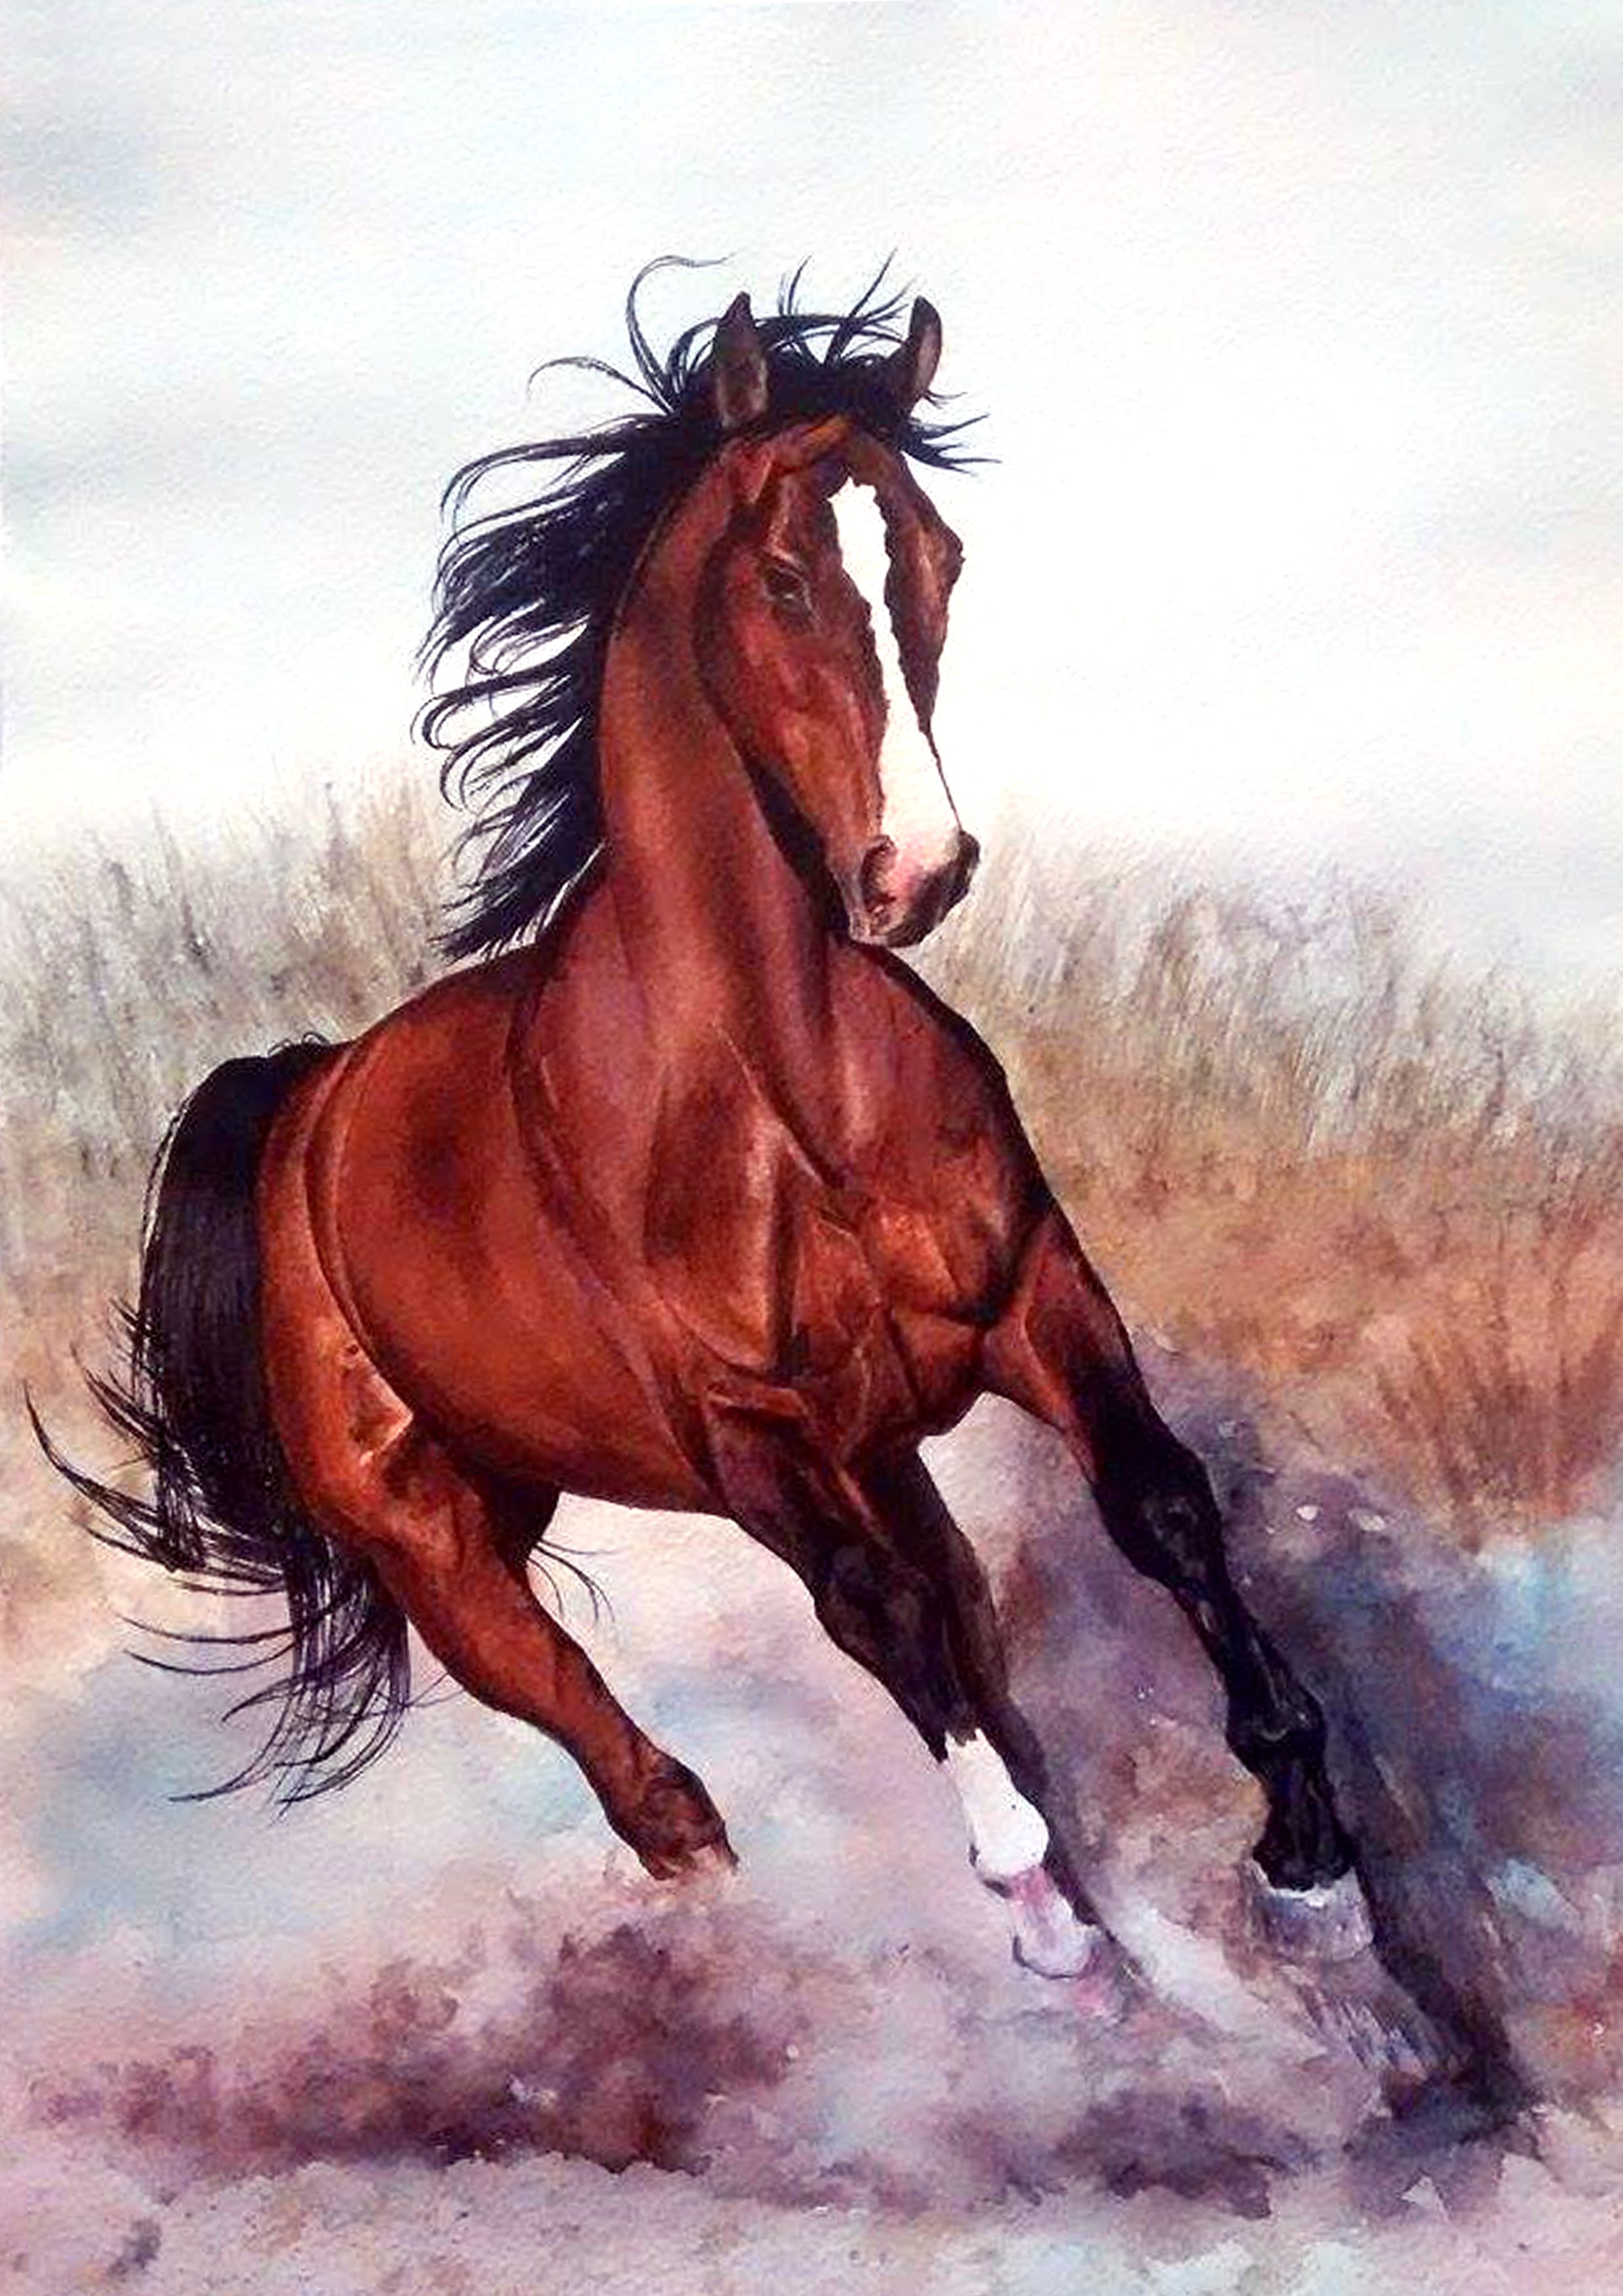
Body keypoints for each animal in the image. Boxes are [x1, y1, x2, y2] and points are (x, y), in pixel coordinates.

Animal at [45, 271, 1374, 1989]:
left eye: (938, 556)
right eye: (786, 576)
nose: (917, 872)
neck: (780, 1098)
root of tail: (308, 1103)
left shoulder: (1034, 1296)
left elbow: (1157, 1508)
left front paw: (1307, 1847)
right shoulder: (744, 1433)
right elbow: (877, 1615)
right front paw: (1025, 1887)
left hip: (832, 1451)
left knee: (958, 1617)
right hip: (440, 1545)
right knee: (634, 1762)